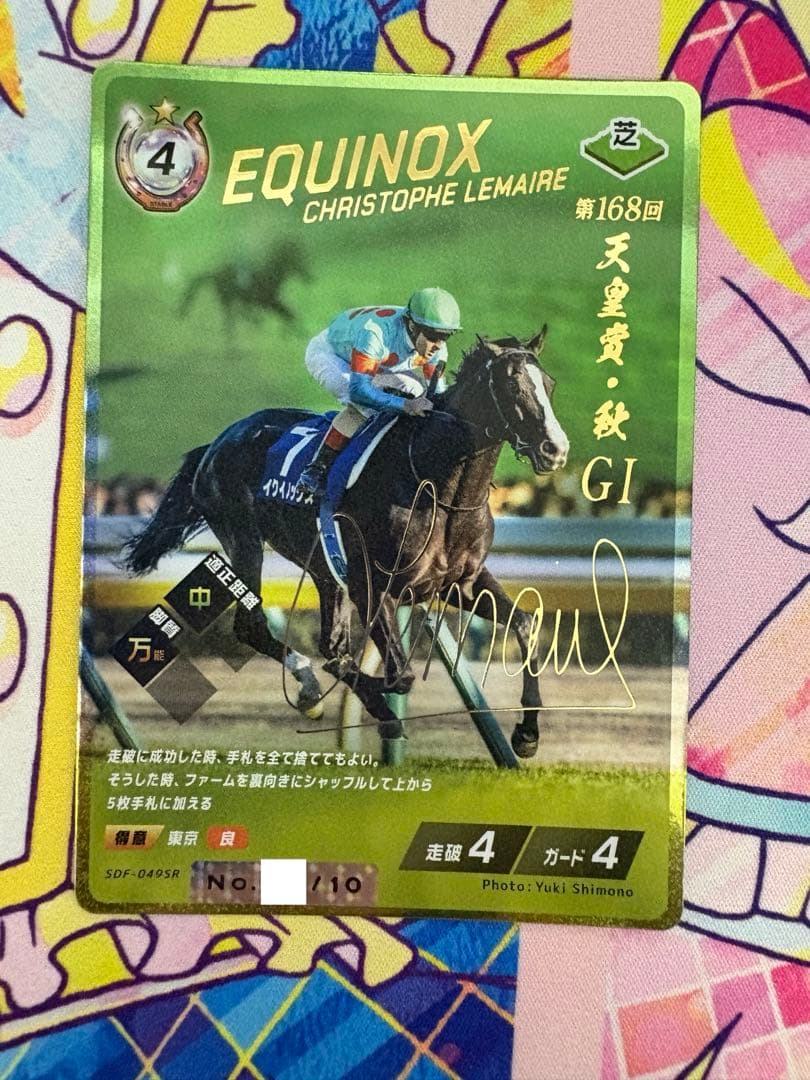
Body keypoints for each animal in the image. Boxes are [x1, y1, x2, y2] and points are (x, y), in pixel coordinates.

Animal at [123, 330, 569, 758]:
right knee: (255, 627)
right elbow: (399, 675)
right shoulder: (372, 585)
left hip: (324, 566)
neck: (438, 487)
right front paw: (378, 712)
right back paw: (309, 688)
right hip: (243, 538)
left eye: (548, 384)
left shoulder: (462, 583)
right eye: (512, 386)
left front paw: (527, 734)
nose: (556, 448)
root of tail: (217, 443)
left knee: (330, 642)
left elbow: (525, 624)